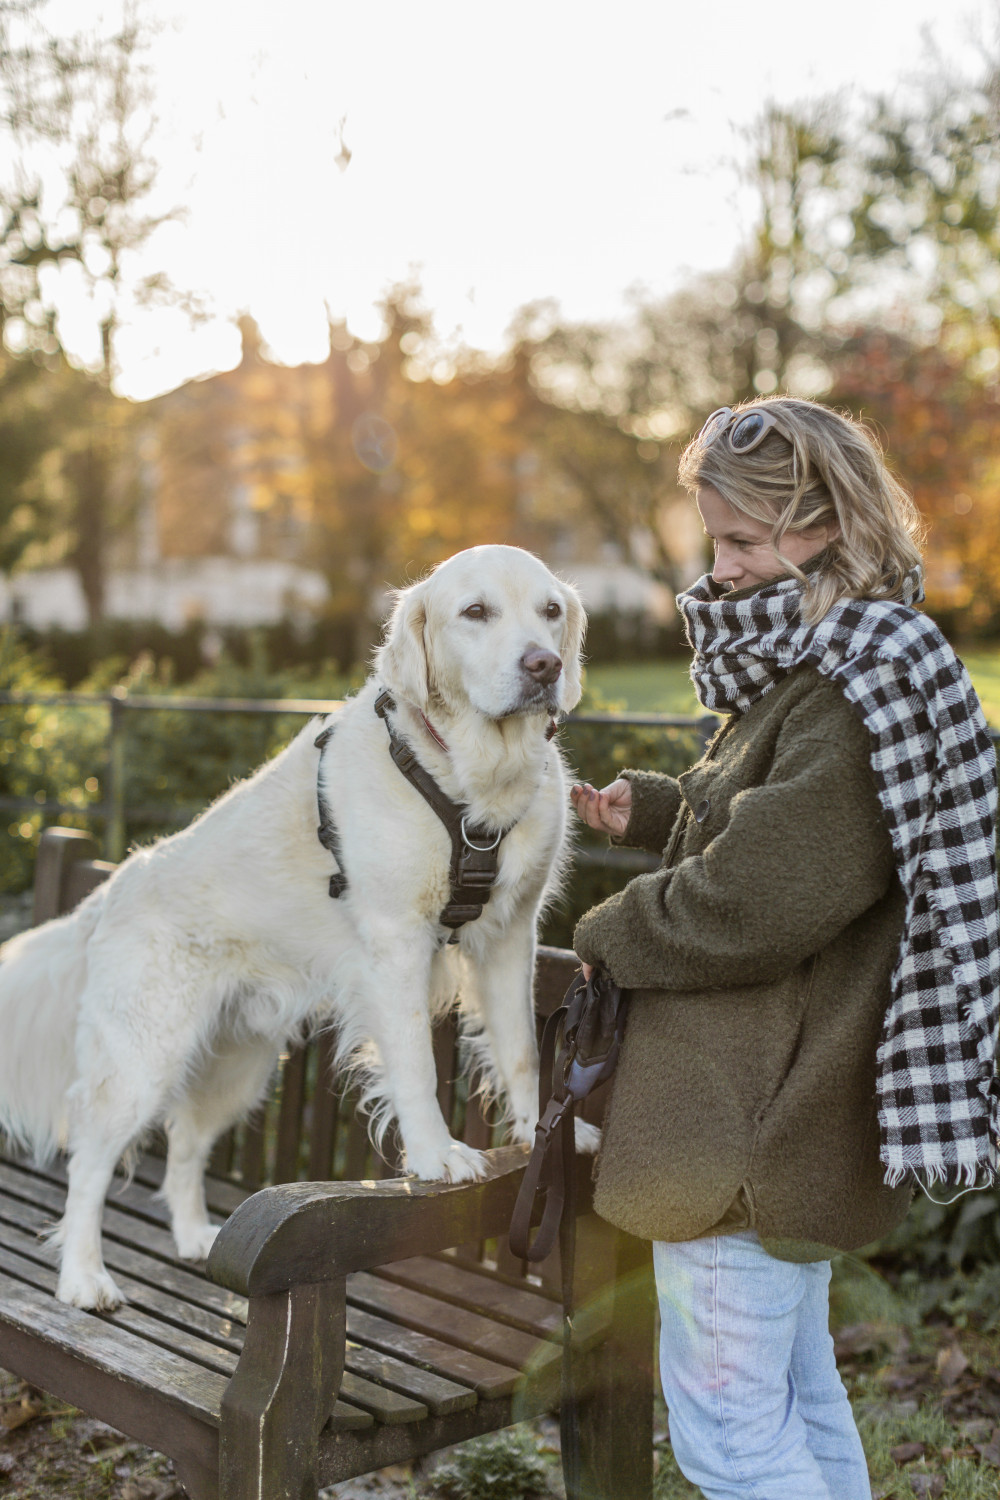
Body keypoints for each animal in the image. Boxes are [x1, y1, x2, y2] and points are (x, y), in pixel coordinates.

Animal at [0, 546, 593, 1308]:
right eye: (475, 612)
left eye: (550, 611)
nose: (544, 666)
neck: (467, 779)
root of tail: (109, 888)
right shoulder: (397, 943)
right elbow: (416, 1065)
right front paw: (438, 1155)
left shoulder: (511, 936)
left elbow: (522, 1052)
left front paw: (547, 1132)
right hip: (142, 1059)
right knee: (90, 1162)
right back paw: (83, 1276)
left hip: (238, 1063)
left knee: (185, 1146)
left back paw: (194, 1238)